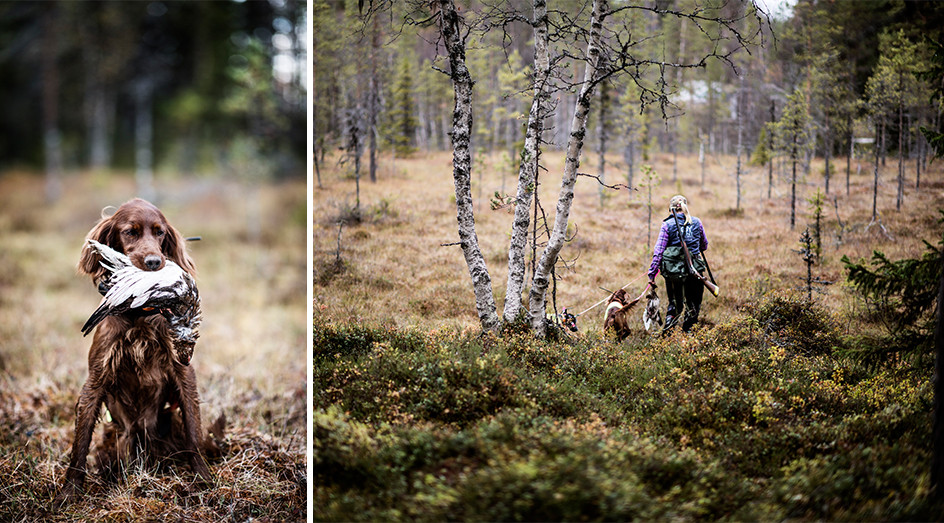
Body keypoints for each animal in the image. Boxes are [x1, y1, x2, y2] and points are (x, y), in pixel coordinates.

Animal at [54, 200, 219, 508]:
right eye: (130, 232)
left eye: (160, 232)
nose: (154, 263)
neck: (138, 315)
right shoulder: (95, 379)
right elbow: (80, 442)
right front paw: (69, 491)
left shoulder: (183, 373)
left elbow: (194, 432)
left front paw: (203, 479)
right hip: (117, 433)